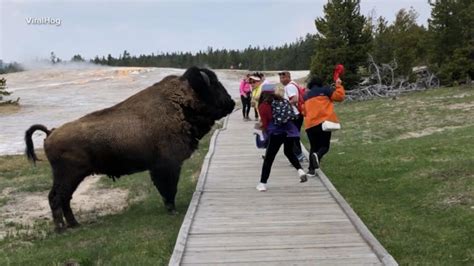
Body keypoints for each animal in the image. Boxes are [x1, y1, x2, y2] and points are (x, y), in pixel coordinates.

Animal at [24, 67, 235, 233]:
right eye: (215, 85)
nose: (232, 102)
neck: (181, 102)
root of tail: (51, 132)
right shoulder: (168, 166)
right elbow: (169, 188)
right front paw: (172, 209)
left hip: (73, 176)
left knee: (65, 198)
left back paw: (74, 224)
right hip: (68, 175)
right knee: (56, 198)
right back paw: (61, 229)